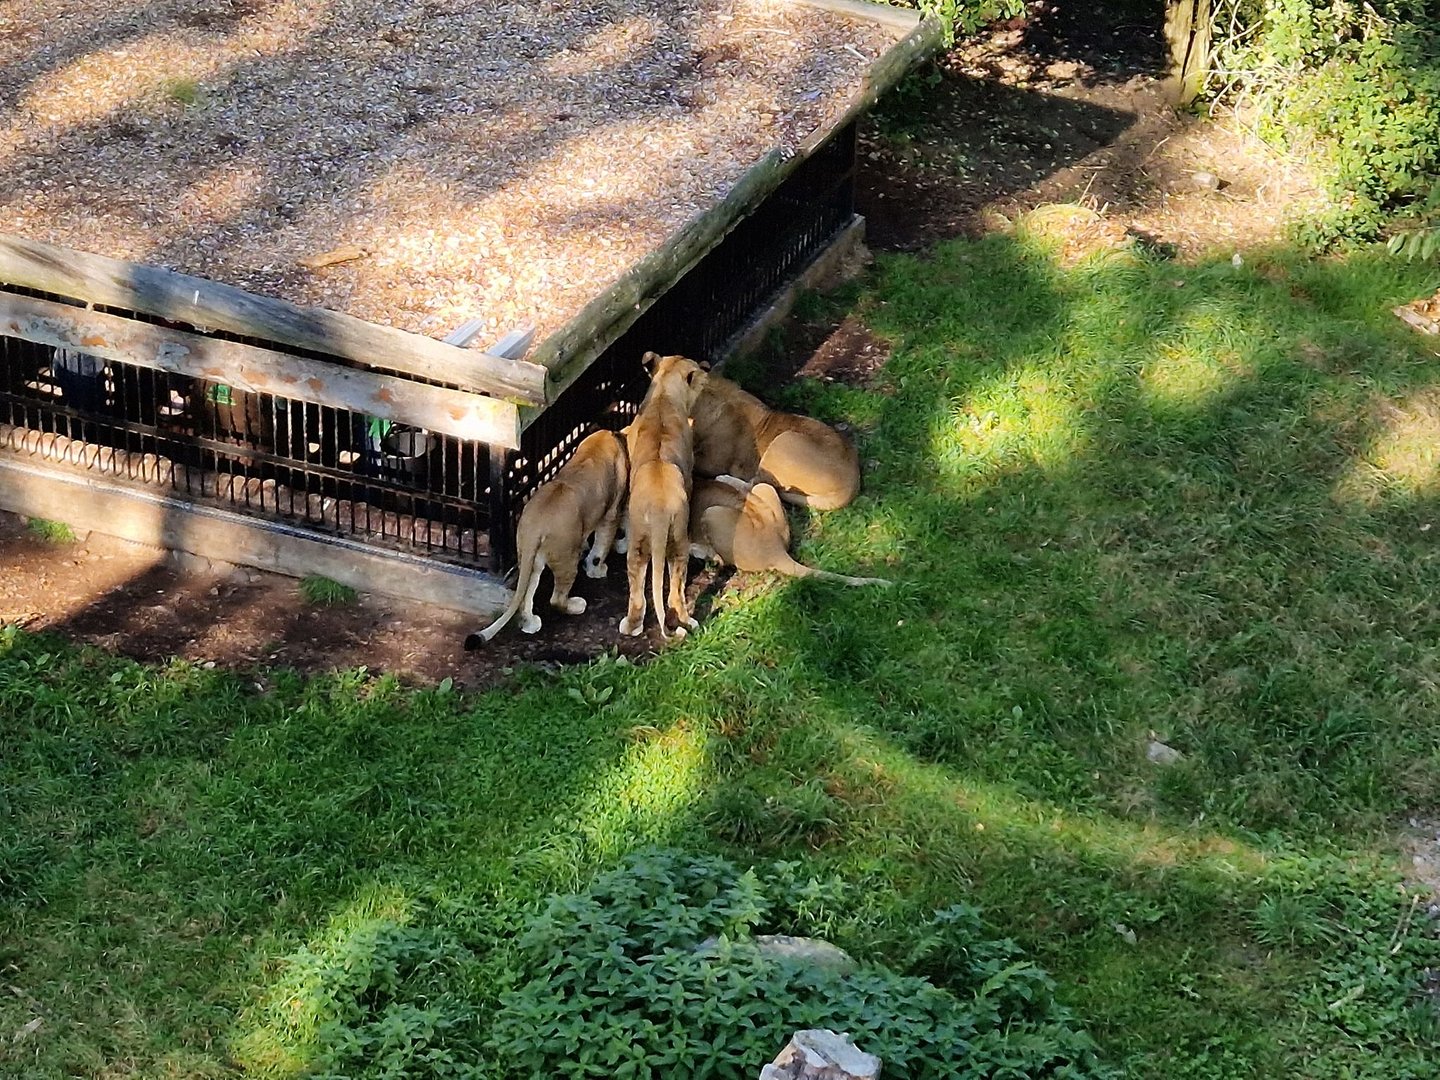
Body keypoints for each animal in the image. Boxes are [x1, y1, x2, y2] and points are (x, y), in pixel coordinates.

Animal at [464, 429, 627, 648]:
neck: (597, 445)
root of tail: (535, 526)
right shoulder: (611, 513)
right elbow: (600, 548)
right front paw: (598, 570)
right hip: (566, 556)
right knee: (556, 599)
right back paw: (577, 605)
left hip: (531, 558)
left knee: (526, 596)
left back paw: (531, 624)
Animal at [618, 352, 708, 638]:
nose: (706, 369)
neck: (663, 394)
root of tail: (658, 511)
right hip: (679, 541)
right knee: (674, 593)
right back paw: (687, 622)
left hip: (640, 542)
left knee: (639, 592)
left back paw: (632, 626)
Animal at [689, 477, 891, 586]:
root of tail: (775, 548)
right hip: (766, 490)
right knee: (754, 487)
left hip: (712, 513)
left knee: (721, 560)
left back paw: (696, 549)